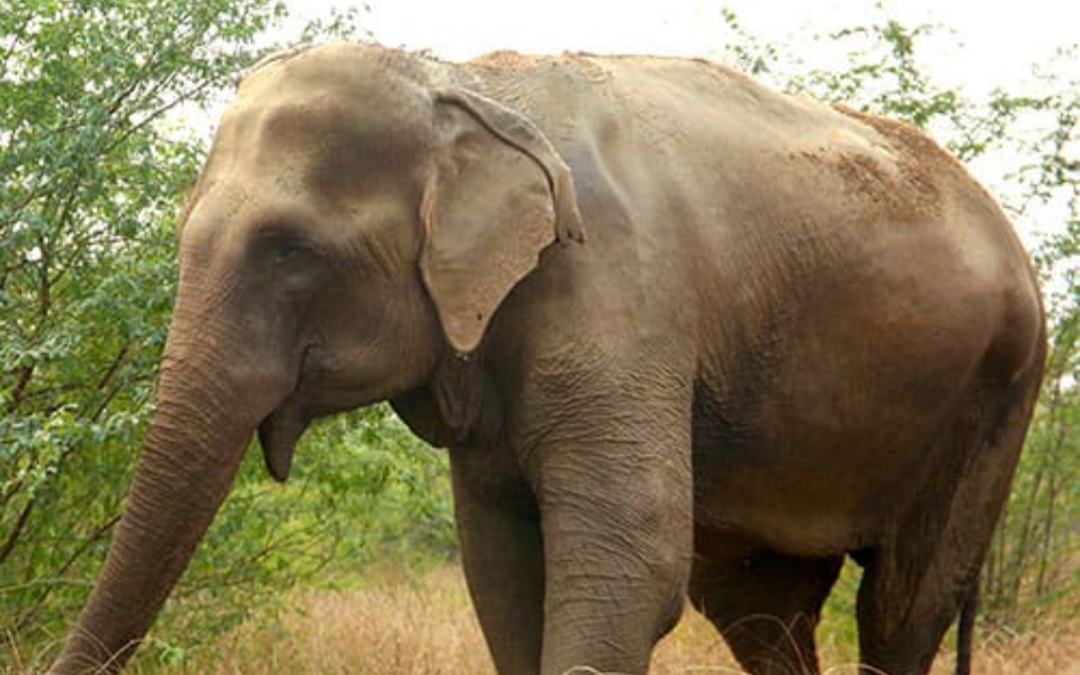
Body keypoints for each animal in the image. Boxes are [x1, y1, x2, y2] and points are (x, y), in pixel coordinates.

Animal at [49, 43, 1046, 675]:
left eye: (289, 249)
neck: (466, 86)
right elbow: (500, 570)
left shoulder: (618, 291)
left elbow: (630, 562)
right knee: (758, 606)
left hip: (995, 394)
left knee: (900, 605)